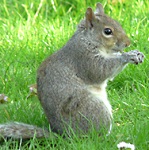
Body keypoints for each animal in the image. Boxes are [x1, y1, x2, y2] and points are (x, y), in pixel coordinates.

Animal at [0, 2, 144, 141]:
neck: (87, 40)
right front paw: (128, 56)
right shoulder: (84, 59)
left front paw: (137, 53)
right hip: (92, 108)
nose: (128, 43)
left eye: (118, 23)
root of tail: (66, 135)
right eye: (107, 31)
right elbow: (101, 70)